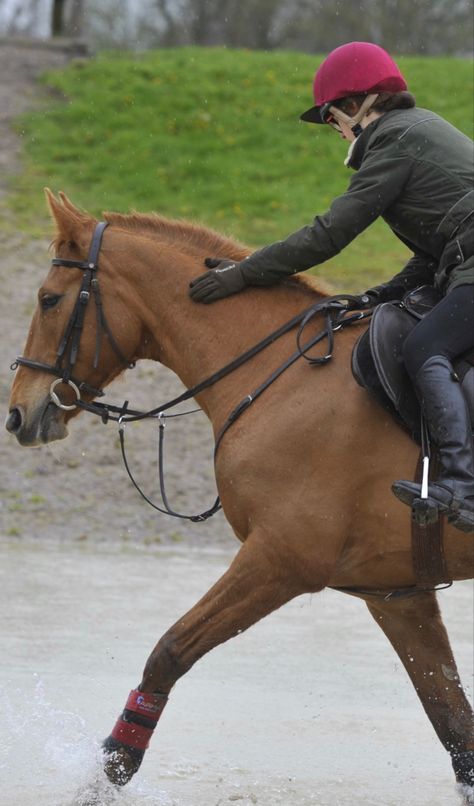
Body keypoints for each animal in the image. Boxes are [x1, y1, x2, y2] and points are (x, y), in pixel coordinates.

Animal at [4, 194, 474, 796]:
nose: (18, 414)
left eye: (48, 299)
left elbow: (167, 653)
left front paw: (111, 769)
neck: (284, 376)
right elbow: (454, 726)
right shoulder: (395, 595)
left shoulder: (278, 561)